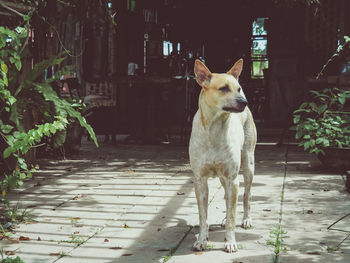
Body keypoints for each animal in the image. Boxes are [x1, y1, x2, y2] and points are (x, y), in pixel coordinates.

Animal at [189, 58, 258, 254]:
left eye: (238, 88)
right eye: (224, 88)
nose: (244, 102)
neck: (215, 129)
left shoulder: (232, 178)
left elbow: (233, 215)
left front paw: (230, 241)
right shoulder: (199, 180)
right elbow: (202, 215)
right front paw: (201, 240)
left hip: (248, 164)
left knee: (246, 195)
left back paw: (246, 219)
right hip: (222, 177)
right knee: (228, 199)